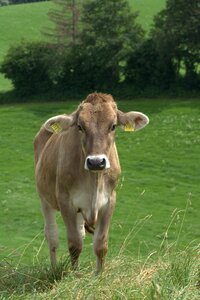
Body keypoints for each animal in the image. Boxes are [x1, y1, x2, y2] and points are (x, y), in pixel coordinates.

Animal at [34, 92, 148, 274]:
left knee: (80, 232)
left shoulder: (109, 201)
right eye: (80, 126)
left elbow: (100, 245)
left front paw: (98, 275)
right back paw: (54, 268)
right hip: (44, 198)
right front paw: (74, 275)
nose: (96, 162)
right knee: (52, 236)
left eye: (113, 126)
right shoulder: (65, 201)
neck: (94, 180)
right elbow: (74, 244)